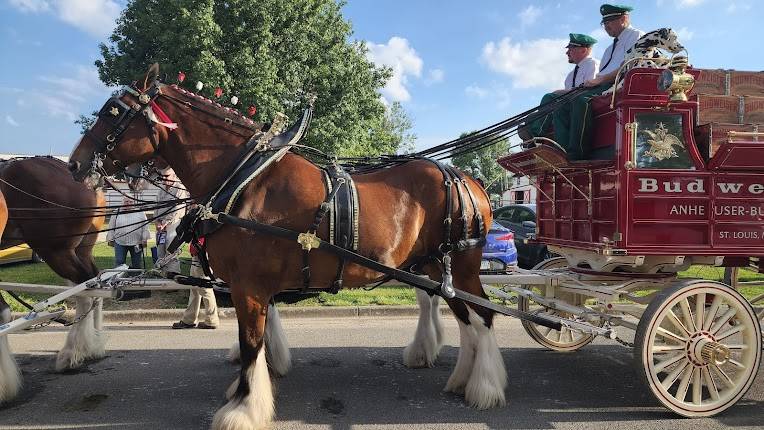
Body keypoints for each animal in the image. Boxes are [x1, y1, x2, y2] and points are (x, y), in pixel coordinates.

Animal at [0, 157, 108, 390]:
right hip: (82, 249)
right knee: (96, 284)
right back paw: (93, 345)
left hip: (55, 251)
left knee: (85, 293)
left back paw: (71, 353)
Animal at [67, 64, 508, 430]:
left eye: (112, 112)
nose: (74, 165)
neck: (246, 180)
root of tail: (468, 179)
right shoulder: (253, 287)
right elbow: (257, 341)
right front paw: (248, 391)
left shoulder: (248, 287)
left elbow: (251, 343)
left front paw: (243, 409)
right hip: (436, 268)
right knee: (465, 319)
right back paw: (462, 380)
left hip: (462, 266)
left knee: (484, 318)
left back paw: (485, 387)